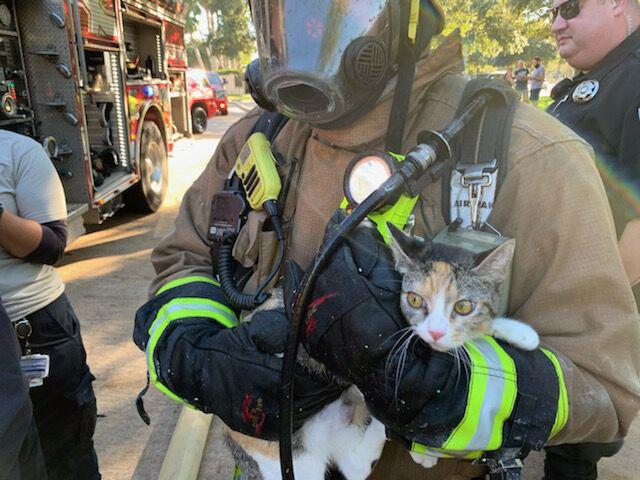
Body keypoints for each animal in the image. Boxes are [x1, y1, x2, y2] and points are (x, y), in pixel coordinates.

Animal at [225, 226, 540, 480]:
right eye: (415, 299)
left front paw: (515, 332)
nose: (436, 331)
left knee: (356, 464)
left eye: (463, 306)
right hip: (286, 452)